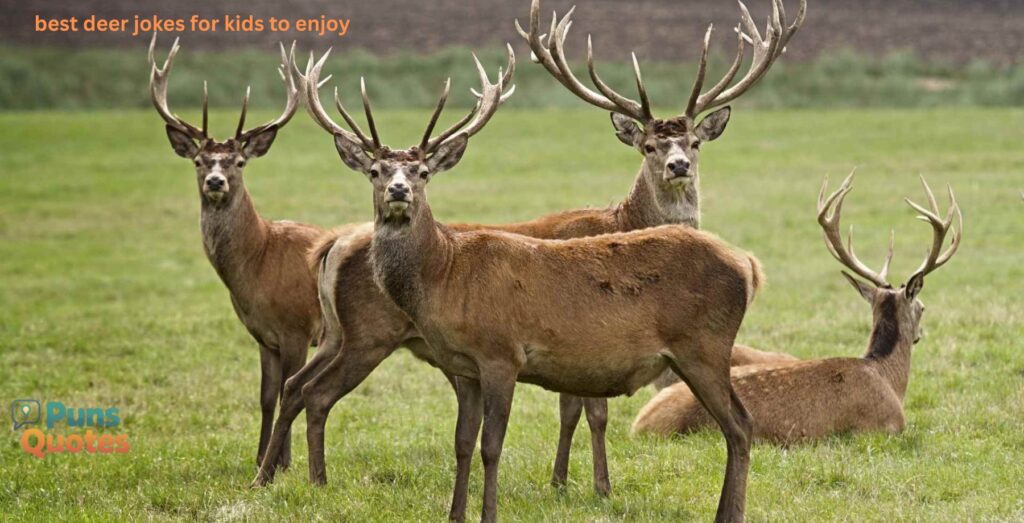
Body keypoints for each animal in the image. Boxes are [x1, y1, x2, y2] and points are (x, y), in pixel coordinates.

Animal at [149, 34, 344, 471]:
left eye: (239, 161)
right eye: (199, 161)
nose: (215, 181)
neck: (258, 264)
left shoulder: (296, 327)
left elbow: (291, 390)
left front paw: (282, 462)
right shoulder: (262, 335)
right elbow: (266, 396)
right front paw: (259, 458)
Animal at [250, 0, 805, 504]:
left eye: (694, 142)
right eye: (648, 146)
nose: (677, 166)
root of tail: (747, 264)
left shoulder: (512, 355)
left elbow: (522, 433)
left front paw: (581, 487)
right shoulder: (476, 364)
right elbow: (480, 440)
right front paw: (565, 486)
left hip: (703, 346)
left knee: (740, 426)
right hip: (358, 334)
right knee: (304, 389)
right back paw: (283, 477)